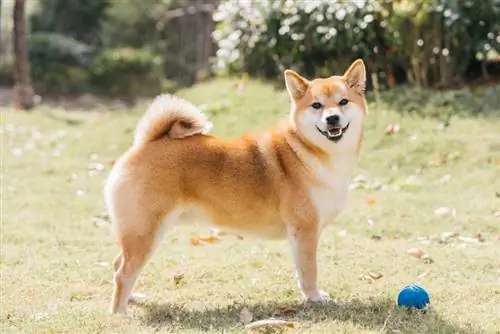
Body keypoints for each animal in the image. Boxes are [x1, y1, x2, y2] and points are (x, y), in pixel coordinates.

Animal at [105, 59, 370, 314]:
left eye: (343, 101)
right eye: (316, 105)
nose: (332, 118)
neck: (308, 152)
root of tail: (145, 143)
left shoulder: (299, 235)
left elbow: (301, 271)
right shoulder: (305, 230)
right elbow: (309, 272)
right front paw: (315, 298)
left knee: (119, 264)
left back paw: (133, 299)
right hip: (145, 232)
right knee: (123, 272)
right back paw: (120, 312)